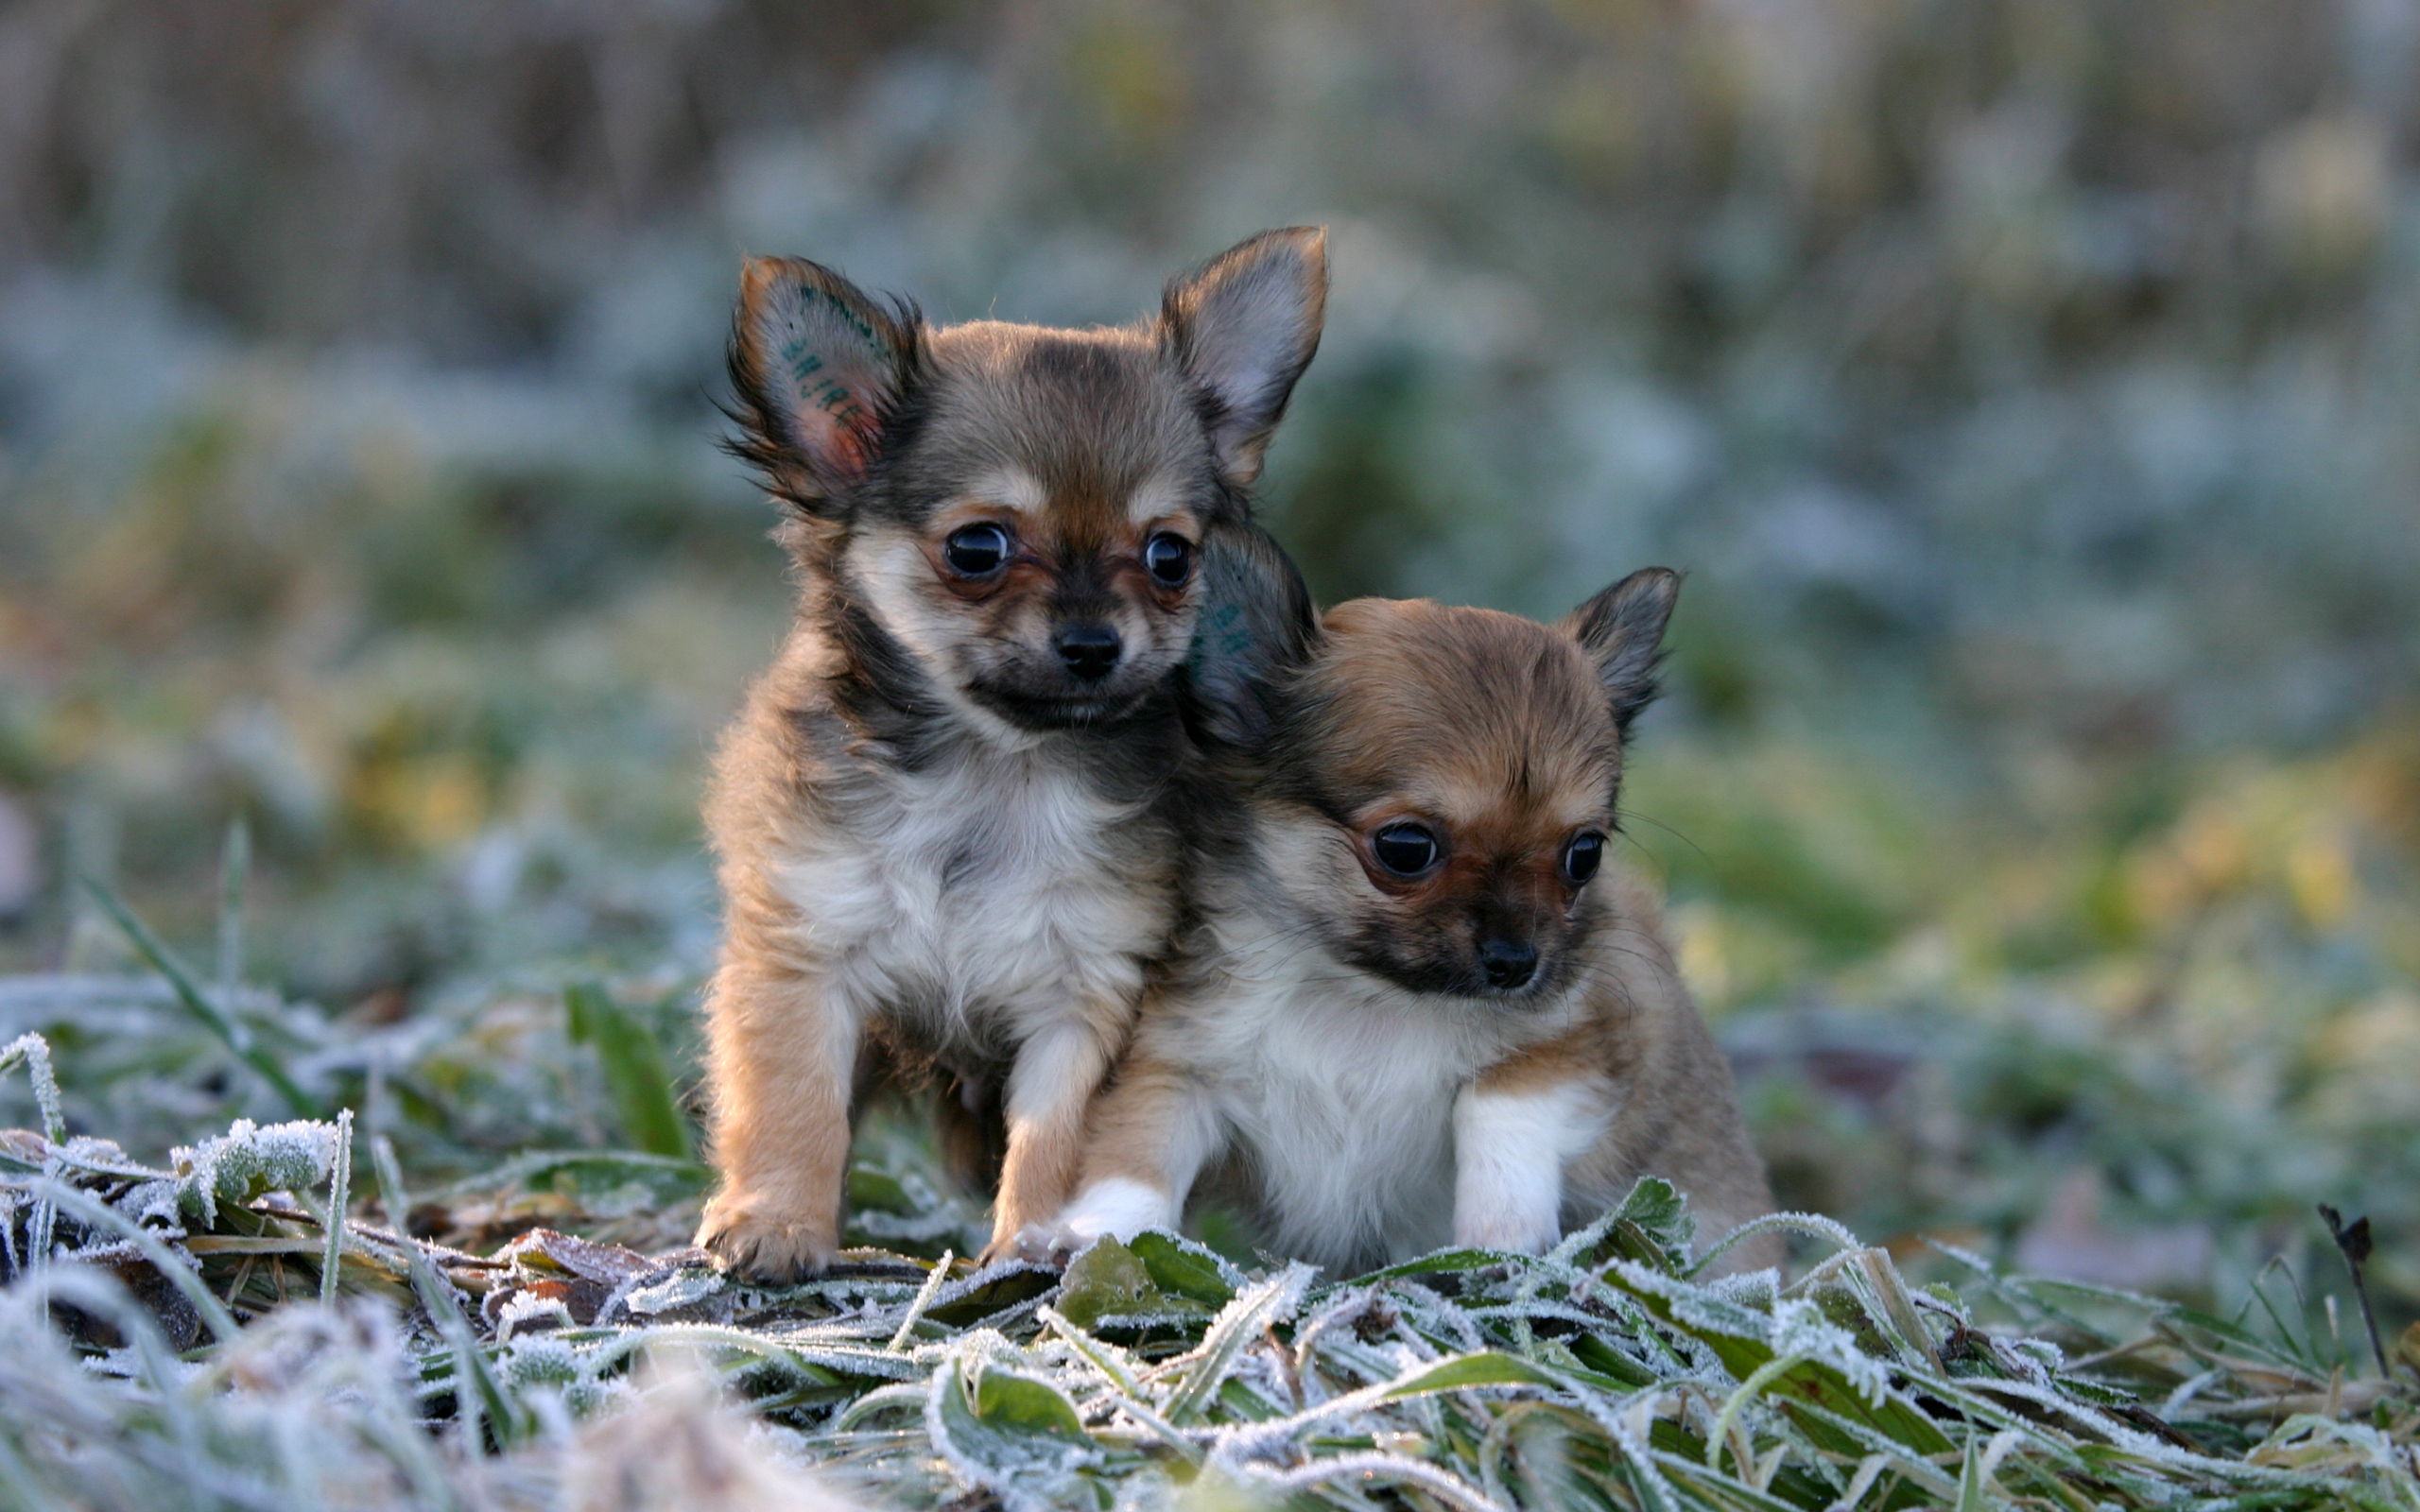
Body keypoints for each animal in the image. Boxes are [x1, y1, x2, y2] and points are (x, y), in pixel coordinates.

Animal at [701, 230, 1336, 1277]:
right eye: (977, 548)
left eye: (1171, 557)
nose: (1092, 643)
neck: (996, 771)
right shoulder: (808, 954)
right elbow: (796, 1109)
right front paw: (777, 1222)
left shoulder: (1085, 994)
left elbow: (1054, 1136)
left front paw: (1036, 1242)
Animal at [1050, 571, 1771, 1267]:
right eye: (1406, 847)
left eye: (1584, 855)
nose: (1517, 964)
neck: (1364, 999)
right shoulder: (1180, 1063)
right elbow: (1138, 1154)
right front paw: (1095, 1236)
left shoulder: (1573, 1042)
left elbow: (1498, 1110)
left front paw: (1498, 1235)